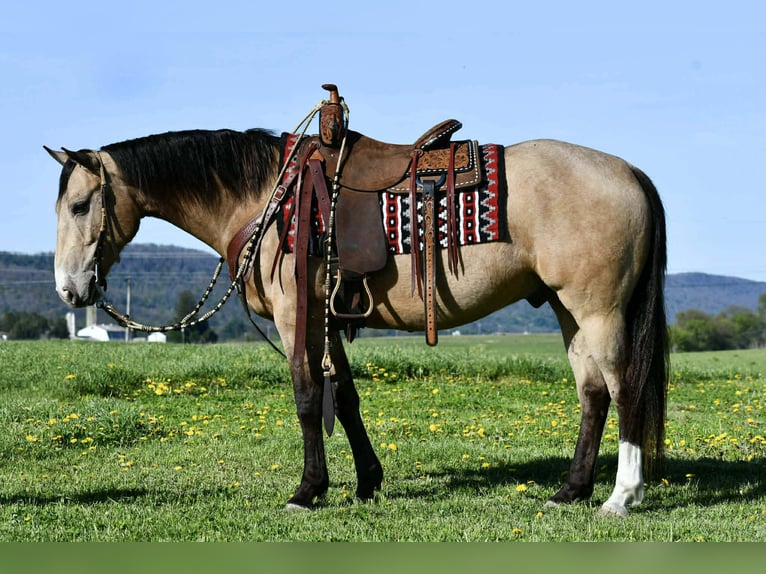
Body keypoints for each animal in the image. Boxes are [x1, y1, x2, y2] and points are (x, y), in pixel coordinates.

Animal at [46, 117, 668, 518]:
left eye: (79, 205)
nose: (70, 289)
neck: (267, 197)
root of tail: (629, 171)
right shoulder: (324, 316)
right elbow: (343, 397)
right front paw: (367, 481)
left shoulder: (297, 316)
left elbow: (306, 397)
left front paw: (307, 490)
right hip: (569, 311)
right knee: (593, 394)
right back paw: (572, 490)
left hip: (598, 311)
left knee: (625, 390)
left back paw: (622, 496)